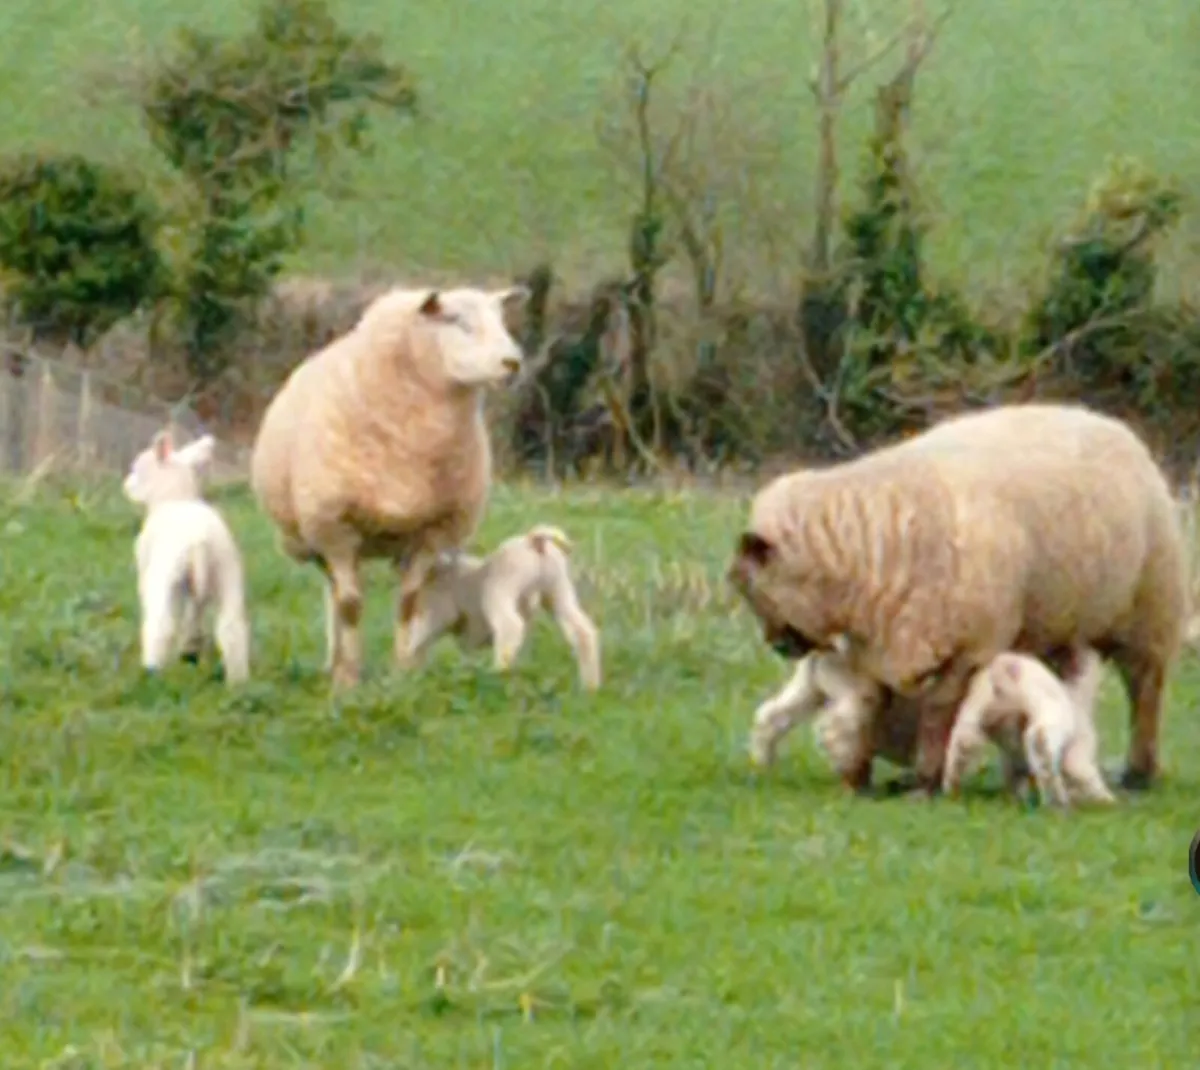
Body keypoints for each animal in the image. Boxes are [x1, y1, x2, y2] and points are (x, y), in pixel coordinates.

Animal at [122, 430, 250, 683]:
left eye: (136, 468)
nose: (125, 485)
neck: (174, 497)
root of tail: (200, 540)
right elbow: (194, 616)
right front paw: (190, 651)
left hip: (166, 572)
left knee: (161, 624)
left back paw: (151, 672)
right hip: (226, 571)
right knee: (231, 628)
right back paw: (238, 683)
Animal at [249, 284, 530, 688]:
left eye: (502, 320)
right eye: (457, 321)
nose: (513, 363)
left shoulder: (432, 532)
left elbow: (409, 602)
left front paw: (403, 672)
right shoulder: (336, 529)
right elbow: (350, 606)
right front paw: (348, 680)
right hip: (319, 538)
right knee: (335, 594)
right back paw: (334, 663)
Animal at [400, 524, 601, 690]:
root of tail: (533, 541)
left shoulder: (437, 612)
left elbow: (417, 642)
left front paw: (408, 674)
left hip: (502, 589)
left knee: (510, 625)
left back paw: (498, 674)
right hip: (558, 589)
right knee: (583, 631)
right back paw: (591, 685)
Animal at [942, 648, 1115, 807]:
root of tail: (1002, 672)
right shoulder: (1079, 744)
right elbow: (1080, 770)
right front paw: (1106, 800)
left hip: (974, 712)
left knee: (962, 746)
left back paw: (951, 791)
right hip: (1043, 709)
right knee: (1042, 746)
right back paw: (1057, 801)